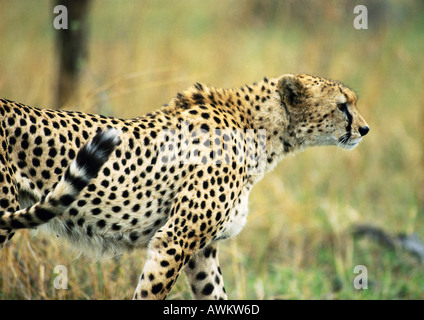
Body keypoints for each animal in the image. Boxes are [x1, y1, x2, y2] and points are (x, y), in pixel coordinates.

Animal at [0, 74, 370, 298]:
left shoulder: (201, 251)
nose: (365, 129)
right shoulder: (173, 241)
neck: (261, 130)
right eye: (342, 105)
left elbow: (215, 292)